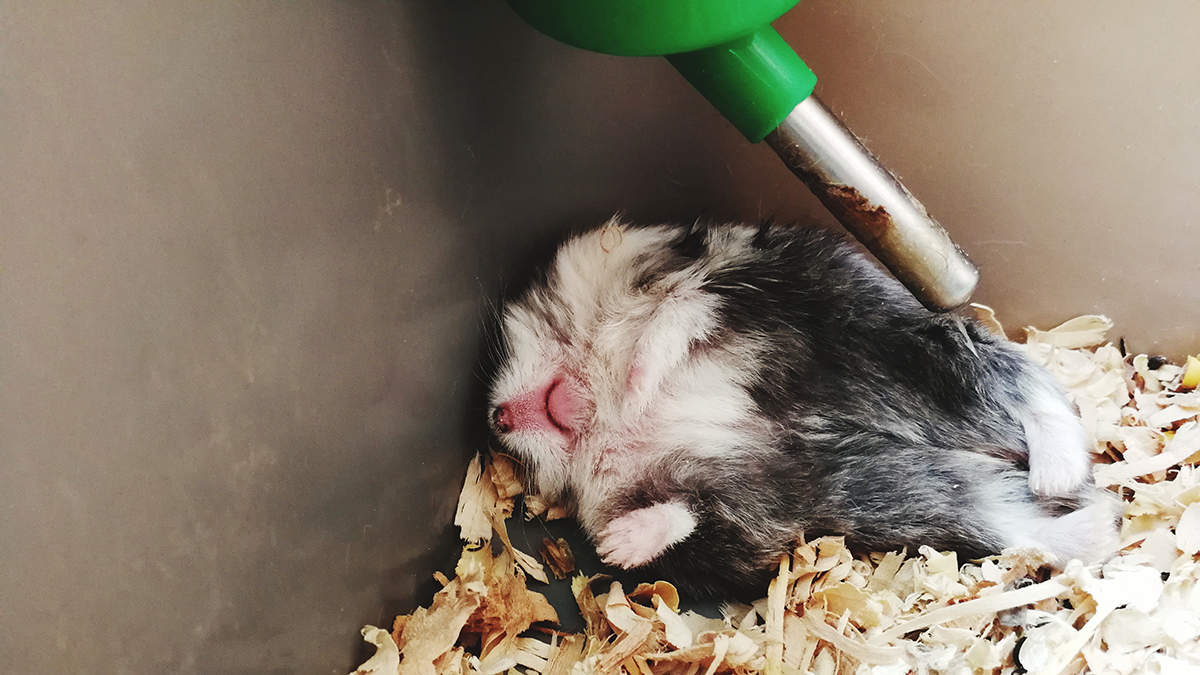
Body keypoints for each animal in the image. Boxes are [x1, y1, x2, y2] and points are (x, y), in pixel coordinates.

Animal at [487, 219, 1119, 596]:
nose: (496, 419)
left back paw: (1058, 474)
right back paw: (1094, 527)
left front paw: (638, 384)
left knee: (1026, 382)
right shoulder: (748, 522)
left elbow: (670, 316)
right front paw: (615, 548)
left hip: (911, 346)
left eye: (533, 322)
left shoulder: (728, 286)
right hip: (902, 496)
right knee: (1017, 520)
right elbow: (687, 514)